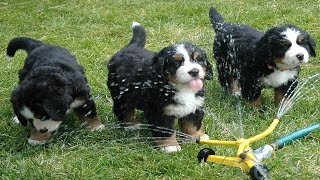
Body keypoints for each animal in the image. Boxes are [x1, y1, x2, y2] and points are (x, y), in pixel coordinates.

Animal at [107, 21, 212, 153]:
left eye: (198, 59)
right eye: (177, 62)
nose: (194, 71)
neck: (182, 88)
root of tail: (128, 48)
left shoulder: (195, 105)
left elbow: (192, 124)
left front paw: (197, 137)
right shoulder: (160, 111)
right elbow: (165, 130)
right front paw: (170, 146)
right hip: (121, 94)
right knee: (123, 109)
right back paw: (131, 124)